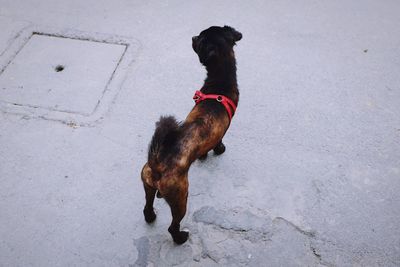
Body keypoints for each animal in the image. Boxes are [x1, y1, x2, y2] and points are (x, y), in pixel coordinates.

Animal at [140, 25, 241, 245]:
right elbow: (219, 142)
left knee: (146, 207)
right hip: (181, 198)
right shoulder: (223, 129)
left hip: (147, 185)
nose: (194, 36)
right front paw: (219, 150)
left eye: (201, 40)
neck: (219, 80)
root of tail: (156, 164)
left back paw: (151, 216)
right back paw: (180, 238)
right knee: (172, 226)